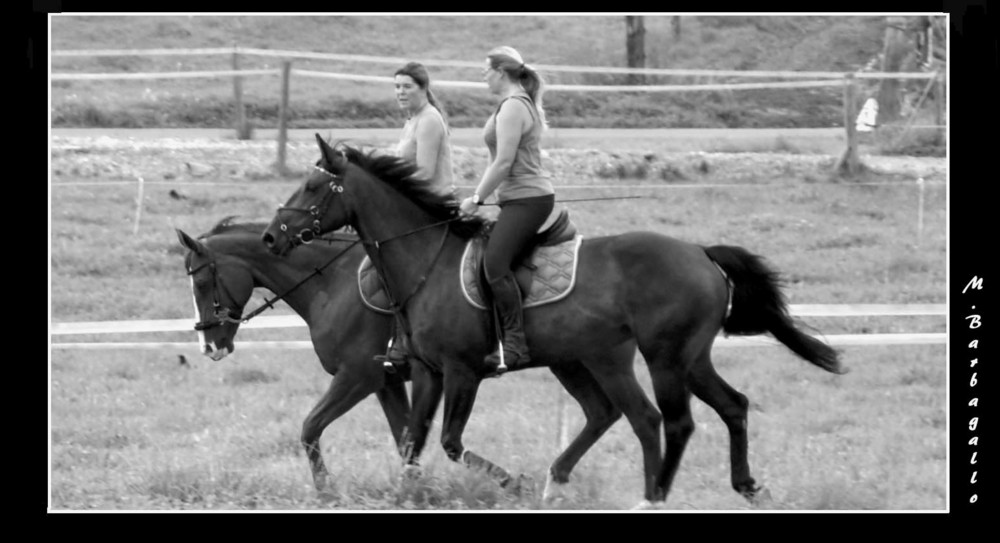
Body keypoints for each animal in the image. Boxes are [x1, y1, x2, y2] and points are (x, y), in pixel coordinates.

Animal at [262, 136, 848, 506]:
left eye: (312, 188)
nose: (271, 237)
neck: (425, 260)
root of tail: (701, 253)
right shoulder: (426, 371)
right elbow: (412, 441)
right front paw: (410, 494)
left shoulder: (462, 371)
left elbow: (449, 442)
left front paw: (513, 483)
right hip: (677, 359)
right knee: (727, 406)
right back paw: (744, 485)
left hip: (659, 359)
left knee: (665, 420)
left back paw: (651, 495)